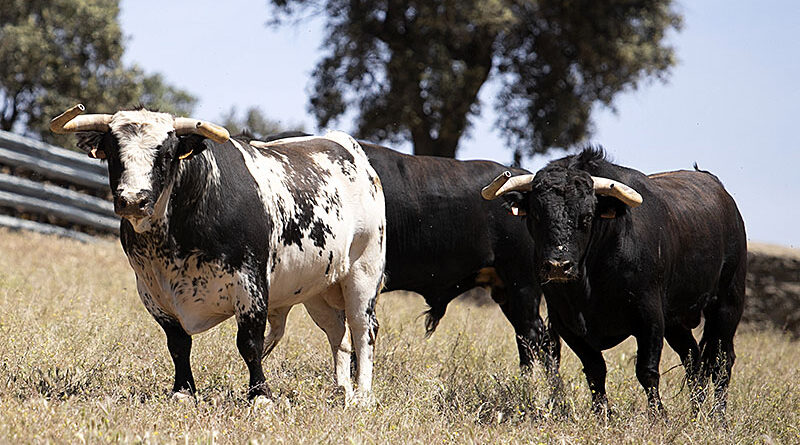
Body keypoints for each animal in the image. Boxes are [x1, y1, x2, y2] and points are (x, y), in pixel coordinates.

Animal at [50, 105, 388, 406]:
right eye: (112, 151)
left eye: (166, 155)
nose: (133, 200)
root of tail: (348, 148)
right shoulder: (152, 292)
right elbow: (178, 344)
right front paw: (183, 391)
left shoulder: (251, 286)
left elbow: (249, 344)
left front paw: (260, 395)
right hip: (317, 287)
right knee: (337, 333)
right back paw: (342, 390)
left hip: (364, 272)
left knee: (363, 329)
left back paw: (362, 395)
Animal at [482, 147, 752, 420]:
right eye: (537, 215)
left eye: (586, 217)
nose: (558, 266)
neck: (588, 284)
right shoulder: (566, 323)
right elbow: (594, 370)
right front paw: (602, 413)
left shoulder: (649, 317)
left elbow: (646, 370)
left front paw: (657, 415)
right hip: (677, 320)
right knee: (693, 358)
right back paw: (697, 412)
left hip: (727, 303)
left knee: (721, 361)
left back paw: (718, 416)